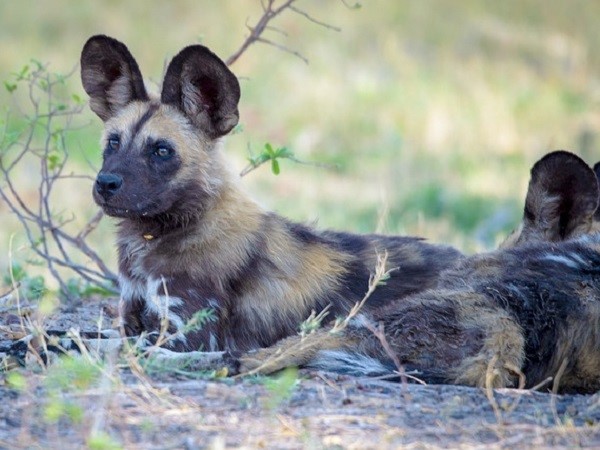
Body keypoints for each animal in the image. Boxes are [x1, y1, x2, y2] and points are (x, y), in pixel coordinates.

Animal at [79, 35, 462, 352]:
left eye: (161, 151)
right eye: (113, 142)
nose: (106, 183)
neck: (155, 235)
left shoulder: (187, 337)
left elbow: (95, 347)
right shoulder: (129, 317)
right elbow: (85, 336)